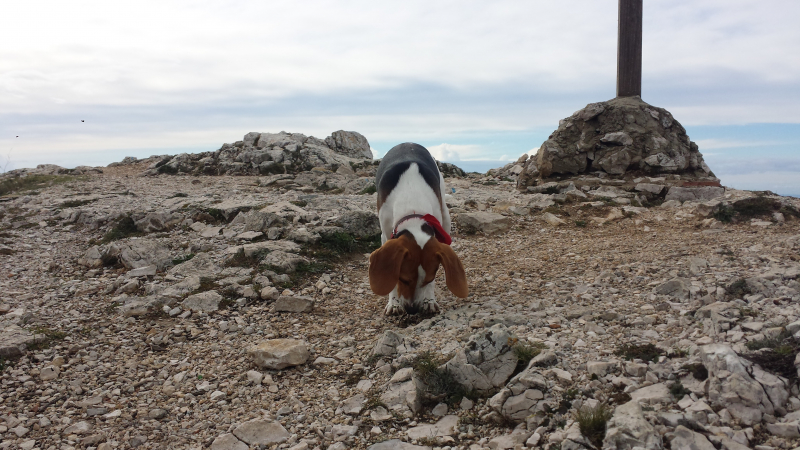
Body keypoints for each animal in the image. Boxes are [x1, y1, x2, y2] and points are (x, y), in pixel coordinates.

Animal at [366, 142, 466, 314]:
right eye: (403, 279)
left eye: (428, 279)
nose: (412, 309)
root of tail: (408, 143)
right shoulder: (386, 235)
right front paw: (394, 303)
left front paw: (429, 300)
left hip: (445, 215)